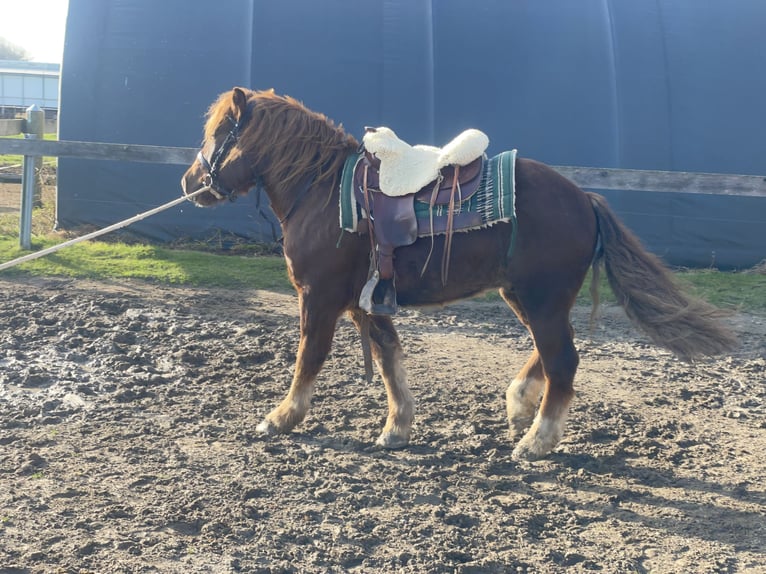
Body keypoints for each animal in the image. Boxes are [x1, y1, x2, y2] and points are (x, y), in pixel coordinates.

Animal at [182, 88, 736, 462]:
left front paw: (281, 418)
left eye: (219, 133)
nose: (190, 182)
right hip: (525, 297)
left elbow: (308, 360)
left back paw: (537, 440)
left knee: (563, 361)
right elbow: (390, 359)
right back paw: (519, 403)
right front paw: (398, 427)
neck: (319, 191)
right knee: (552, 354)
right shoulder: (367, 301)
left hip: (541, 299)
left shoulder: (318, 299)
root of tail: (584, 198)